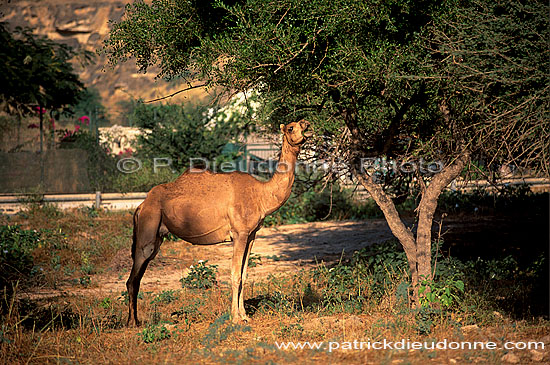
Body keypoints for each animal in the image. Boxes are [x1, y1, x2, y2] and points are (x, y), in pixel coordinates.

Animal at [126, 119, 312, 324]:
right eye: (291, 127)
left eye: (302, 123)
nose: (306, 124)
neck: (261, 195)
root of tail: (141, 205)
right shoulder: (239, 233)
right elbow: (235, 274)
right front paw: (235, 318)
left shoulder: (251, 235)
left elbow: (244, 274)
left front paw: (245, 316)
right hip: (148, 226)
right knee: (134, 276)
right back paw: (132, 323)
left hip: (158, 234)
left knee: (138, 275)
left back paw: (134, 320)